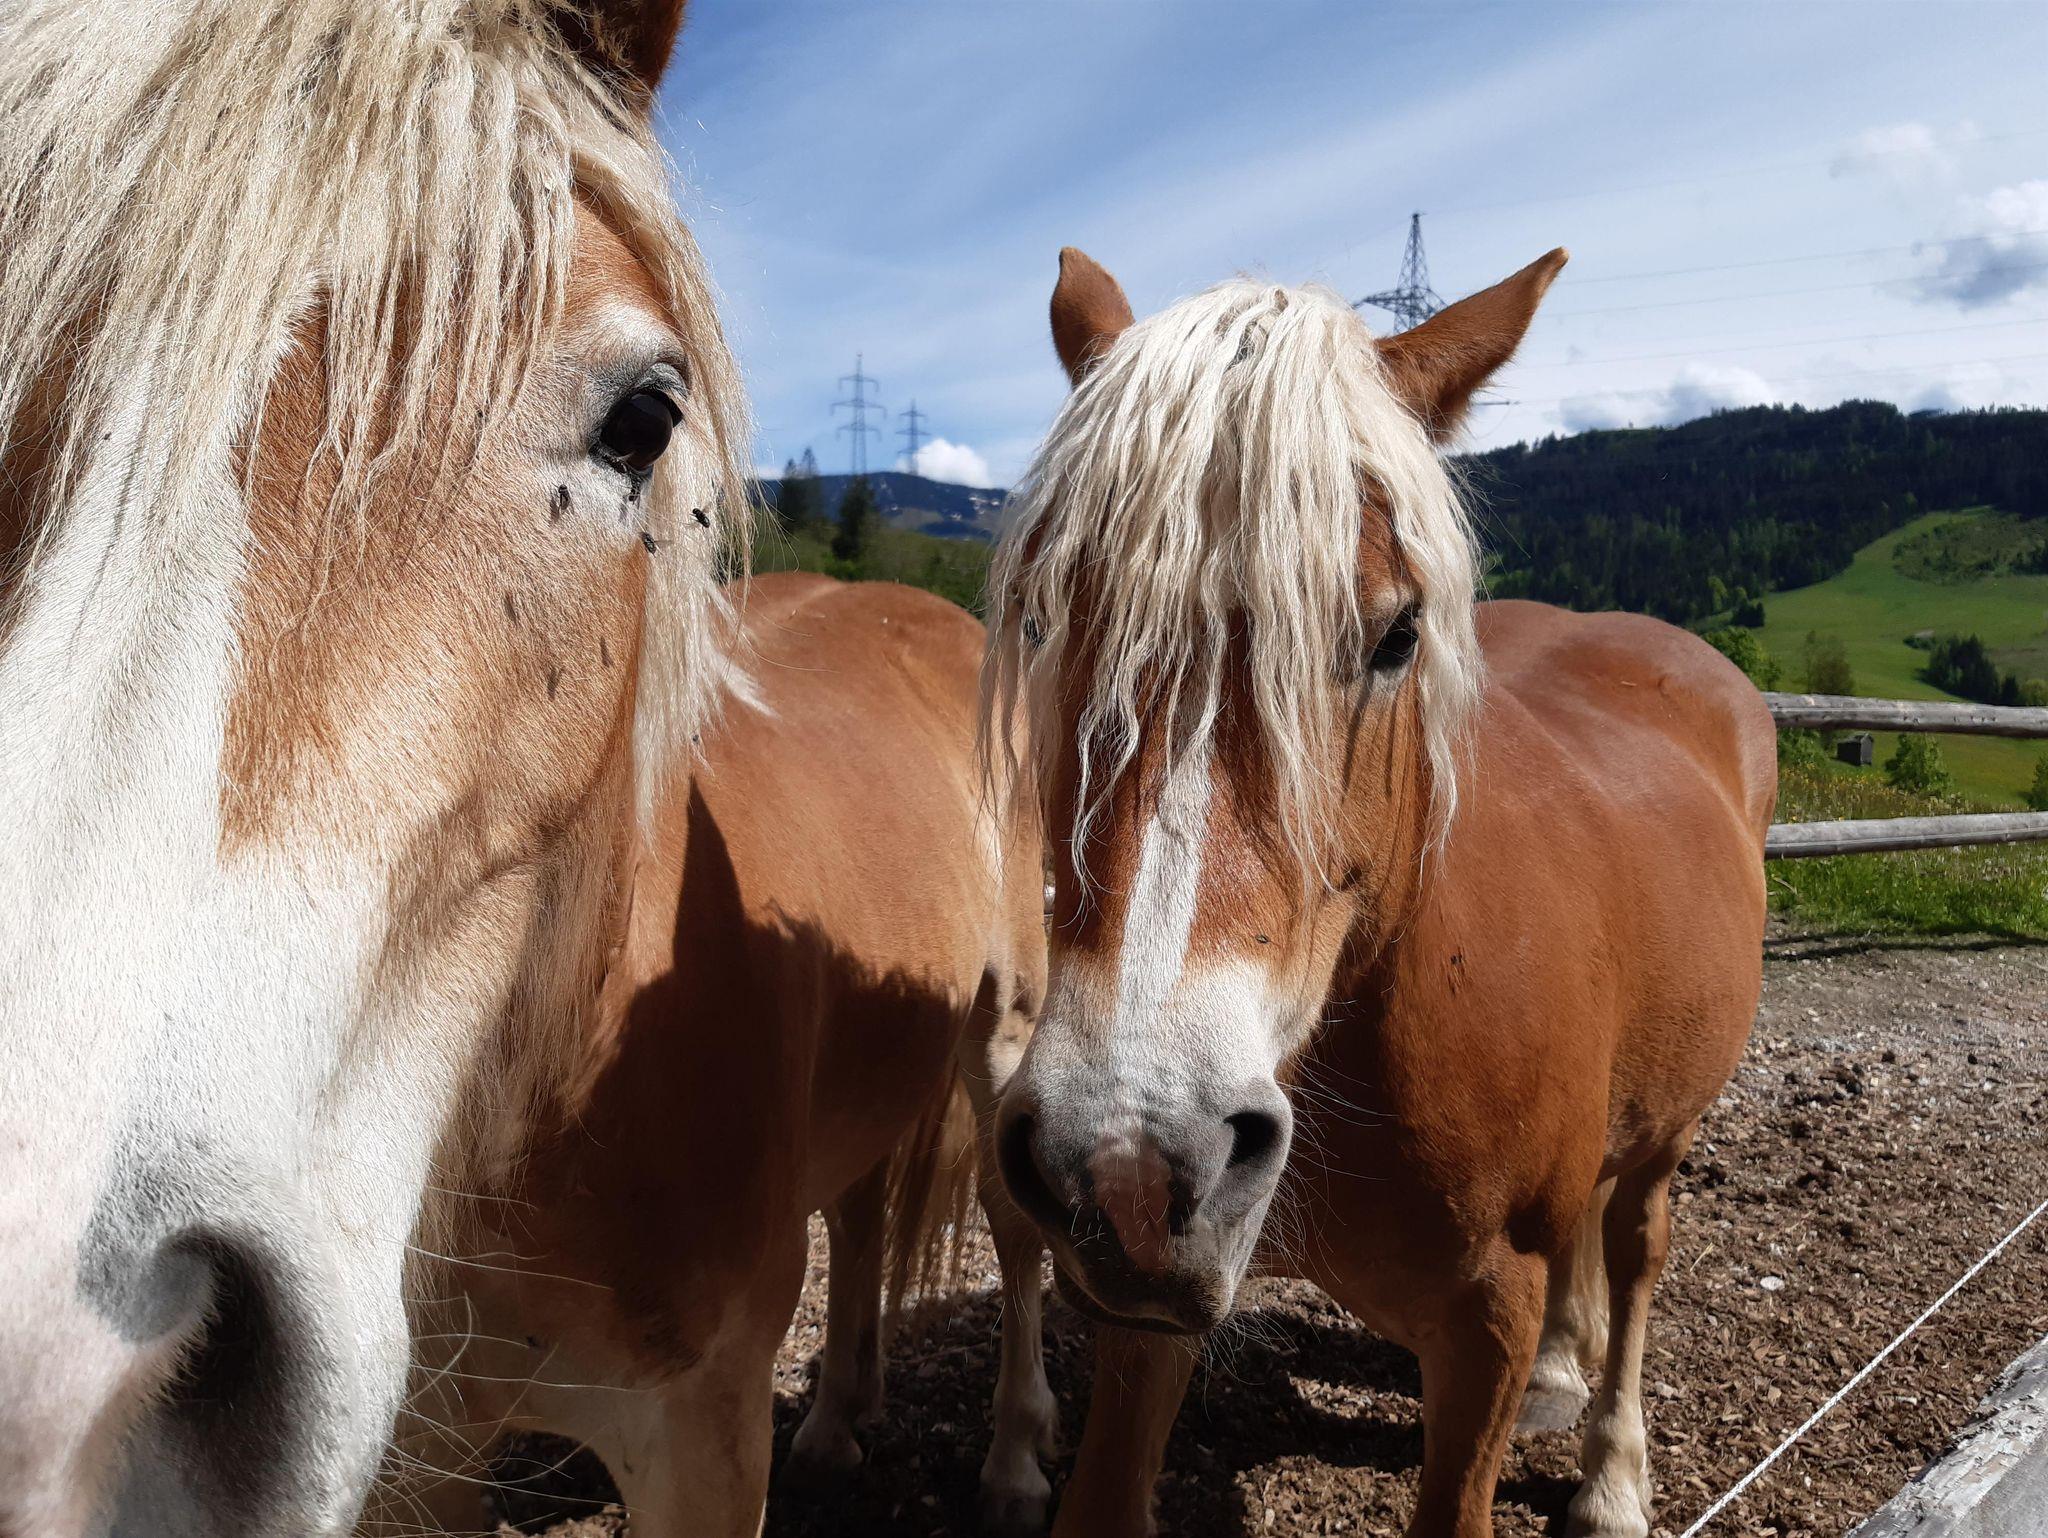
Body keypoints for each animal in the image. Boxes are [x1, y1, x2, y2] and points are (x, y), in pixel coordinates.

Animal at [391, 571, 1054, 1538]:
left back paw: (1013, 1467)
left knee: (1015, 1226)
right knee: (857, 1215)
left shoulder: (701, 1437)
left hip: (1004, 1028)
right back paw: (836, 1421)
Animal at [981, 249, 1777, 1538]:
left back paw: (1610, 1471)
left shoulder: (1486, 1321)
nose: (1127, 1157)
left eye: (1399, 632)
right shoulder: (1150, 1308)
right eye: (1046, 616)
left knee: (1636, 1244)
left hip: (1667, 1127)